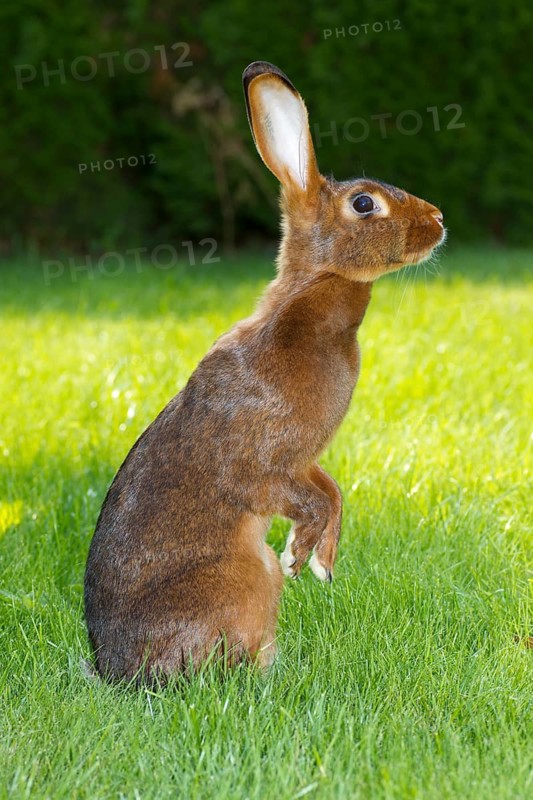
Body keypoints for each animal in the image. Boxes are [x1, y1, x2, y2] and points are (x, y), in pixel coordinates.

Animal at [84, 61, 445, 683]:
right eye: (365, 205)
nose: (439, 220)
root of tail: (117, 671)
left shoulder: (307, 461)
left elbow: (334, 492)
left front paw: (323, 561)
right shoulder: (266, 465)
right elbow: (305, 499)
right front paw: (301, 556)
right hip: (247, 579)